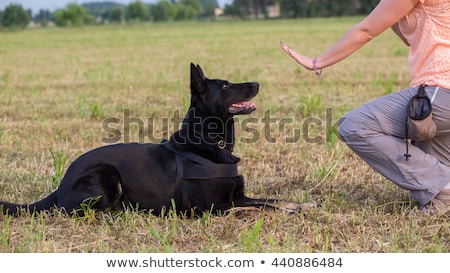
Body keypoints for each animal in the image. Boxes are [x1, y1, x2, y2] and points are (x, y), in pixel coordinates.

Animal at [0, 62, 308, 216]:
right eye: (225, 85)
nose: (257, 83)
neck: (208, 142)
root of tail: (61, 184)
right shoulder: (213, 207)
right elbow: (259, 208)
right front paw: (287, 212)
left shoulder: (239, 195)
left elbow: (272, 200)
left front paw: (300, 206)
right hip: (106, 175)